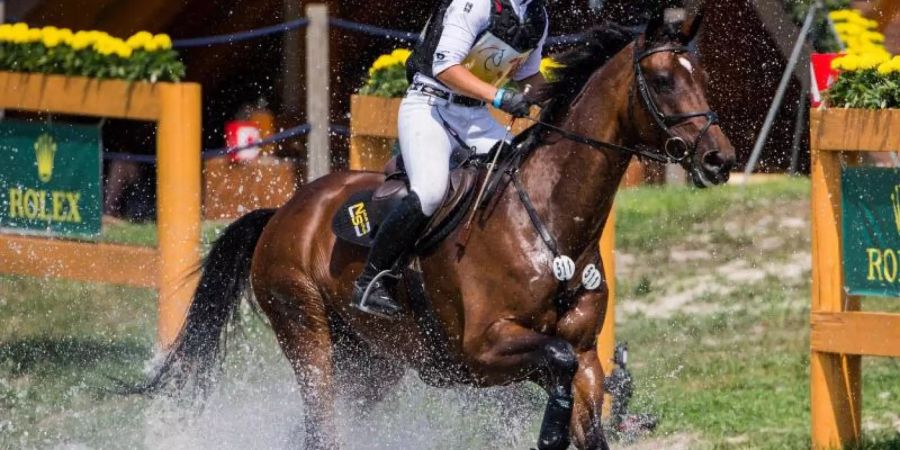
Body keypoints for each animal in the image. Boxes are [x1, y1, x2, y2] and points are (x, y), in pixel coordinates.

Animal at [139, 11, 732, 450]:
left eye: (702, 78)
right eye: (663, 81)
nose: (719, 160)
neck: (549, 223)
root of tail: (283, 212)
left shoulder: (586, 355)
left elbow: (581, 394)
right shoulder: (485, 349)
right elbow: (555, 365)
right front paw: (547, 432)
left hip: (371, 366)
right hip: (307, 333)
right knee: (319, 425)